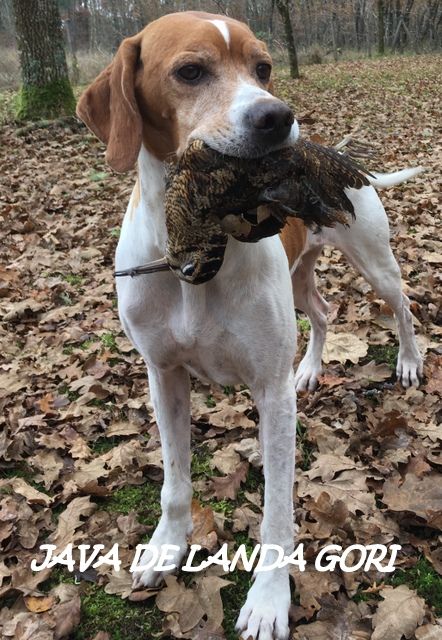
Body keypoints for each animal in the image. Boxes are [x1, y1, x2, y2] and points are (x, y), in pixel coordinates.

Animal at [77, 11, 424, 640]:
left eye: (263, 67)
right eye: (191, 71)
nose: (278, 117)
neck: (193, 243)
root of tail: (342, 159)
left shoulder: (270, 394)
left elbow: (277, 514)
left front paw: (268, 601)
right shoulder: (163, 378)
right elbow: (173, 483)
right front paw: (166, 547)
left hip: (374, 262)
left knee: (403, 305)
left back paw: (409, 363)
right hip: (299, 279)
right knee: (324, 312)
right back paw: (310, 368)